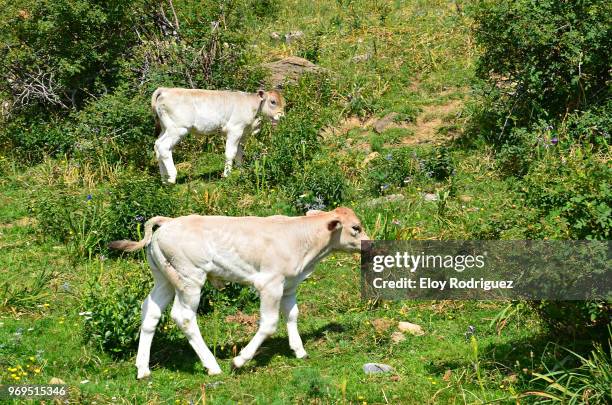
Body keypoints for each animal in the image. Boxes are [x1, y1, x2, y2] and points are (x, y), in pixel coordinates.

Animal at [108, 207, 368, 378]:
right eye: (356, 227)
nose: (370, 244)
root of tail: (168, 222)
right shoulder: (270, 284)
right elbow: (269, 324)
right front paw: (240, 360)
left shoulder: (289, 285)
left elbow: (293, 315)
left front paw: (300, 350)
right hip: (189, 278)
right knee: (183, 317)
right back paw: (212, 366)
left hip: (164, 280)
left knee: (150, 312)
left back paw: (143, 369)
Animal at [151, 89, 284, 185]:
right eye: (273, 101)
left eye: (284, 102)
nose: (282, 116)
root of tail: (165, 90)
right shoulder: (235, 130)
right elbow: (230, 153)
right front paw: (227, 175)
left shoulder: (242, 134)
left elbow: (239, 154)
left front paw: (241, 170)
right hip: (178, 129)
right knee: (163, 147)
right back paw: (172, 178)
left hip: (165, 129)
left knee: (157, 146)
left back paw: (164, 179)